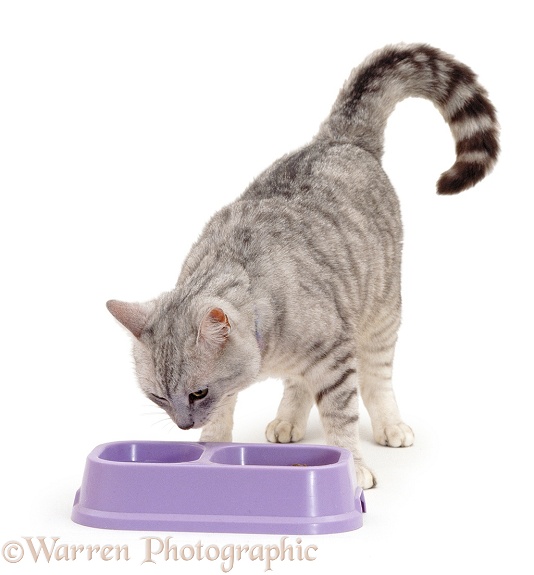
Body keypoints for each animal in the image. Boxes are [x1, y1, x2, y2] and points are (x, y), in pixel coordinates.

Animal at [107, 42, 500, 488]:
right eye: (157, 396)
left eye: (197, 393)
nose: (183, 426)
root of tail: (339, 137)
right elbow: (232, 409)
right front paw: (210, 446)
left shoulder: (335, 359)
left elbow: (340, 418)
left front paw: (353, 467)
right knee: (298, 383)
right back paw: (288, 421)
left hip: (381, 315)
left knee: (376, 381)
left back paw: (389, 424)